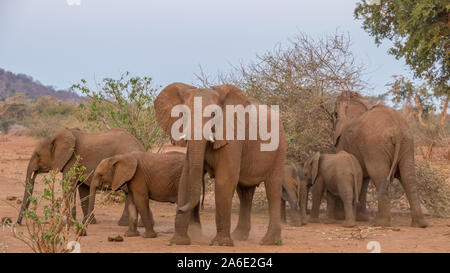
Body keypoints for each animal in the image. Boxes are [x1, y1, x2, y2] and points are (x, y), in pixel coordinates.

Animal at [153, 82, 286, 244]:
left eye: (213, 115)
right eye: (183, 114)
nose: (178, 208)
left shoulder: (232, 138)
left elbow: (225, 180)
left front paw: (220, 243)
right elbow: (185, 179)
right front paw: (178, 242)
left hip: (279, 148)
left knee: (273, 189)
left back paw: (269, 241)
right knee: (245, 193)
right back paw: (239, 237)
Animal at [334, 90, 428, 226]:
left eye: (334, 114)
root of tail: (397, 130)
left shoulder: (344, 142)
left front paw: (342, 217)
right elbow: (363, 177)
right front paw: (362, 219)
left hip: (377, 146)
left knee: (379, 175)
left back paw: (380, 223)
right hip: (407, 142)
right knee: (408, 177)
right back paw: (420, 224)